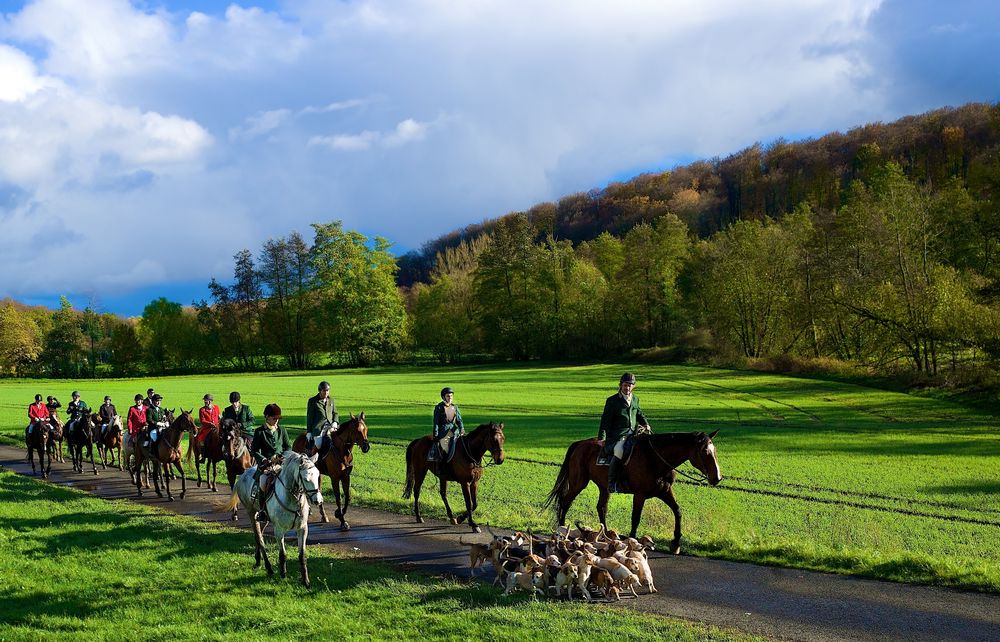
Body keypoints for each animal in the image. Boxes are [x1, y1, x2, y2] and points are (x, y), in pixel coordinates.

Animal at [225, 448, 322, 588]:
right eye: (306, 478)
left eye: (317, 475)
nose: (318, 500)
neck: (292, 499)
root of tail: (243, 475)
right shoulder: (279, 530)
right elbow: (283, 554)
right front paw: (283, 574)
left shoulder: (303, 529)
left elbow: (302, 555)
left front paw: (305, 581)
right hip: (251, 513)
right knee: (259, 539)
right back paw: (268, 567)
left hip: (264, 520)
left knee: (259, 536)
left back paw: (258, 560)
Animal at [544, 430, 724, 552]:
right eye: (704, 451)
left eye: (715, 451)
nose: (717, 478)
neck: (655, 459)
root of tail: (580, 443)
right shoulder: (640, 494)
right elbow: (635, 517)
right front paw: (632, 541)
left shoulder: (665, 491)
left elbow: (677, 511)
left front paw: (675, 544)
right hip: (578, 482)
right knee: (566, 501)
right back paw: (563, 530)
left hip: (604, 487)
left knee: (601, 507)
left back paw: (605, 535)